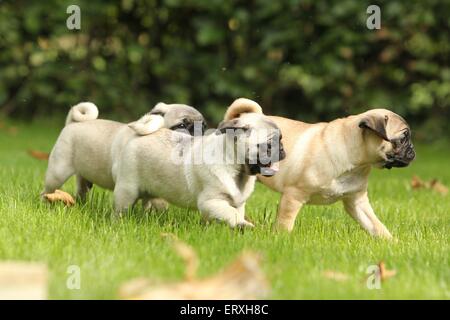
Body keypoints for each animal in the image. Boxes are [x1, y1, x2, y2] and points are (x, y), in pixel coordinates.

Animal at [42, 101, 206, 211]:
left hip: (84, 178)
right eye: (182, 126)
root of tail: (72, 123)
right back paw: (45, 203)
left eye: (203, 126)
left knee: (81, 191)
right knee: (47, 190)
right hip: (58, 172)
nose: (200, 133)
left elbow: (149, 201)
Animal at [258, 109, 416, 239]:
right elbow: (285, 223)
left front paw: (392, 242)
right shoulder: (293, 196)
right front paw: (282, 239)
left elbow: (376, 225)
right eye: (403, 139)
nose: (413, 150)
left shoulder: (357, 202)